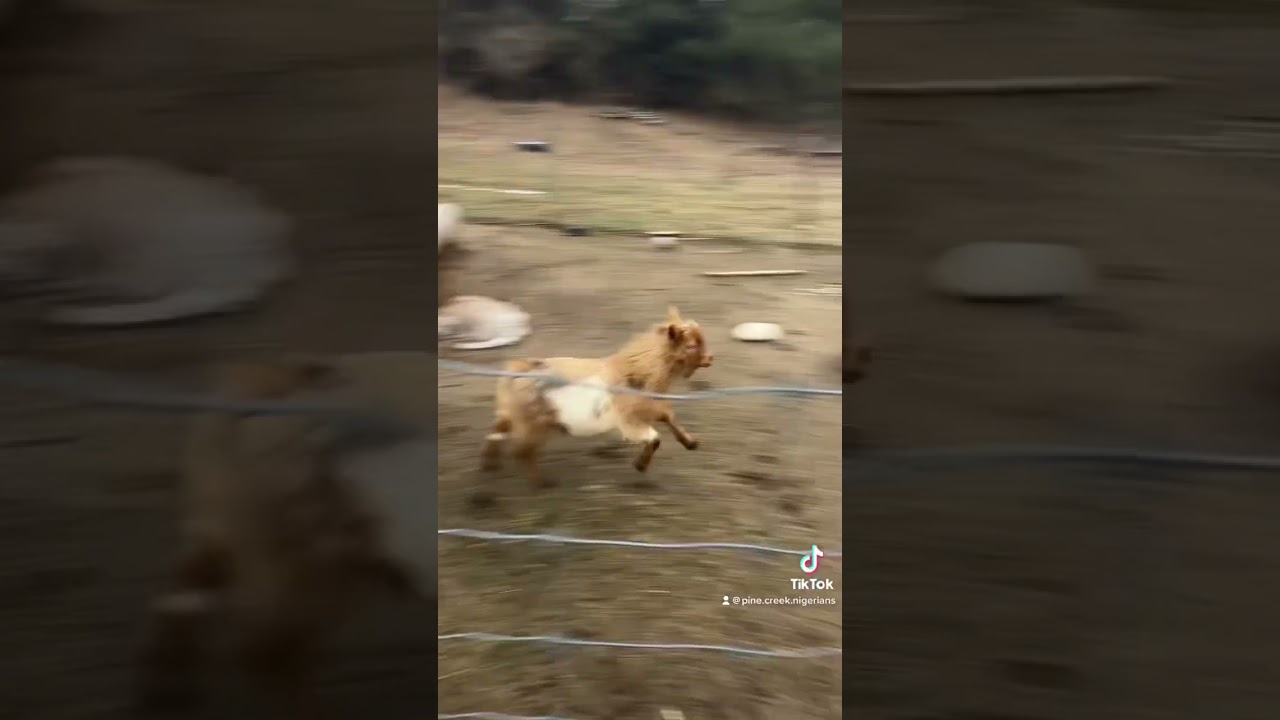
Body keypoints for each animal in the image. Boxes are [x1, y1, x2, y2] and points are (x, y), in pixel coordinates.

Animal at [481, 306, 714, 488]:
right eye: (691, 345)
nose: (710, 358)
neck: (634, 371)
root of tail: (518, 369)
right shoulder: (630, 421)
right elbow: (655, 438)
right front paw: (640, 465)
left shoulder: (652, 407)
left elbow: (669, 416)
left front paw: (690, 443)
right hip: (533, 423)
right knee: (522, 451)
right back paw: (541, 483)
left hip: (516, 413)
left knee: (499, 430)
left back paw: (490, 464)